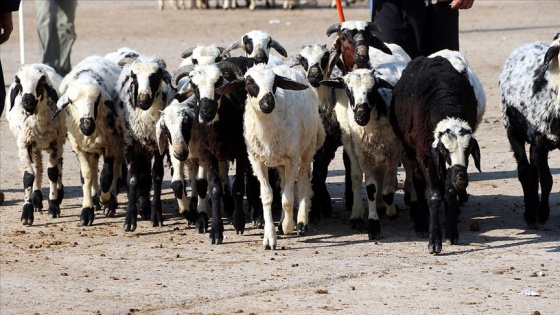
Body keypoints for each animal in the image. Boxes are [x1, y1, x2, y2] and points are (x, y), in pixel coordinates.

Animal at [5, 64, 65, 226]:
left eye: (41, 82)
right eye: (19, 82)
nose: (27, 102)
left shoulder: (56, 142)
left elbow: (53, 172)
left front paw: (53, 206)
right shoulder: (24, 144)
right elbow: (28, 176)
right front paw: (27, 212)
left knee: (59, 165)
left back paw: (59, 193)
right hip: (35, 145)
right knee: (38, 166)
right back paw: (37, 199)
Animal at [215, 64, 328, 251]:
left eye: (275, 83)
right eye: (249, 83)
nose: (267, 104)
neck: (267, 128)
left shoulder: (292, 159)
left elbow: (288, 199)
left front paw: (289, 226)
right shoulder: (257, 161)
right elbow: (268, 196)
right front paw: (270, 238)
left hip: (307, 149)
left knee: (303, 181)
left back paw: (301, 222)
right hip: (280, 163)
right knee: (283, 187)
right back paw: (281, 223)